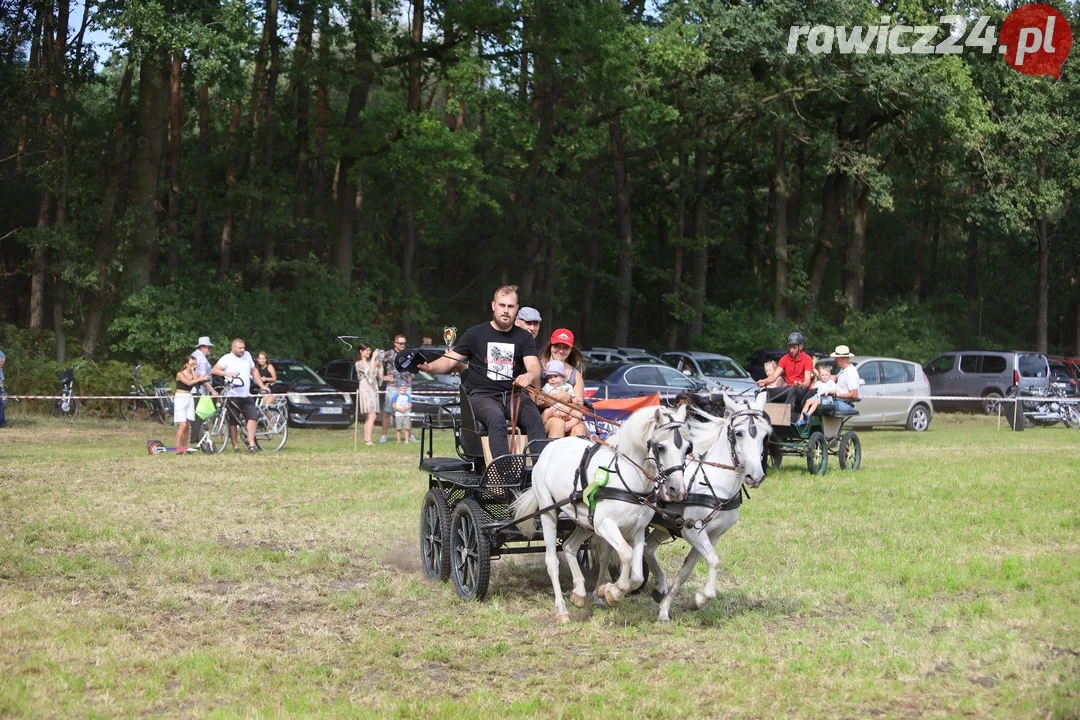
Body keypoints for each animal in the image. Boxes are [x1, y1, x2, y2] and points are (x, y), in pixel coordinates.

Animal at [511, 403, 691, 621]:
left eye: (687, 448)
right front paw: (613, 593)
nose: (676, 489)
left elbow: (637, 575)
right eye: (660, 447)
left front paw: (606, 592)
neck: (626, 478)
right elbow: (625, 554)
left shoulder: (637, 531)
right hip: (549, 512)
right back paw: (562, 610)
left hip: (584, 521)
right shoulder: (605, 524)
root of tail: (549, 448)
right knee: (552, 561)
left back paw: (579, 593)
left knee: (569, 547)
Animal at [639, 390, 777, 621]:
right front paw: (700, 599)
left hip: (664, 526)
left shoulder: (713, 535)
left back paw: (659, 588)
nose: (755, 476)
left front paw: (669, 608)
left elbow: (686, 571)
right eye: (738, 433)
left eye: (765, 435)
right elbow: (714, 561)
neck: (714, 483)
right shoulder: (693, 532)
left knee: (648, 549)